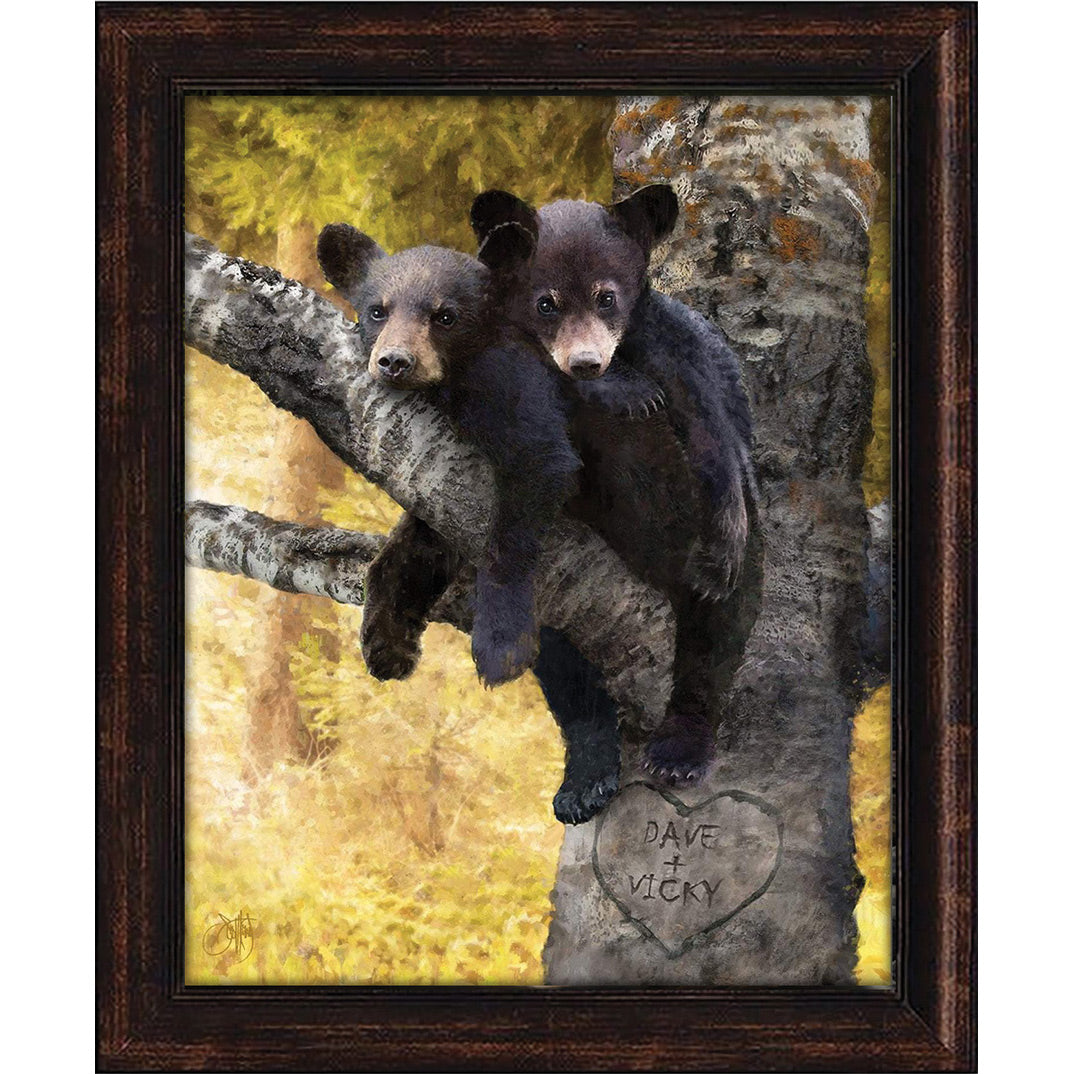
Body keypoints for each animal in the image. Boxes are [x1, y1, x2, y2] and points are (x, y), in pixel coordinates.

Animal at [316, 221, 641, 823]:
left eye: (445, 315)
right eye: (376, 310)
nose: (394, 361)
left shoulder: (510, 386)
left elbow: (535, 470)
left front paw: (498, 637)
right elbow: (415, 539)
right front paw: (386, 642)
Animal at [468, 185, 761, 785]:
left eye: (607, 298)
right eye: (546, 302)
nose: (586, 363)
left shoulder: (672, 348)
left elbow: (710, 429)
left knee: (715, 636)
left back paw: (679, 748)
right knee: (563, 658)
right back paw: (589, 768)